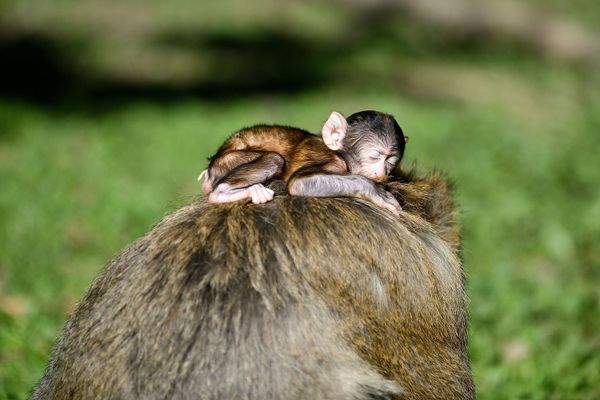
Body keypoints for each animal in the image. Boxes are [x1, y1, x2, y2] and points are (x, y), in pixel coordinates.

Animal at [200, 109, 408, 216]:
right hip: (226, 161)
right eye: (375, 156)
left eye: (391, 162)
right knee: (274, 159)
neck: (340, 155)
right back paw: (226, 193)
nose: (382, 172)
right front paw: (374, 190)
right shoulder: (330, 161)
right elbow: (300, 183)